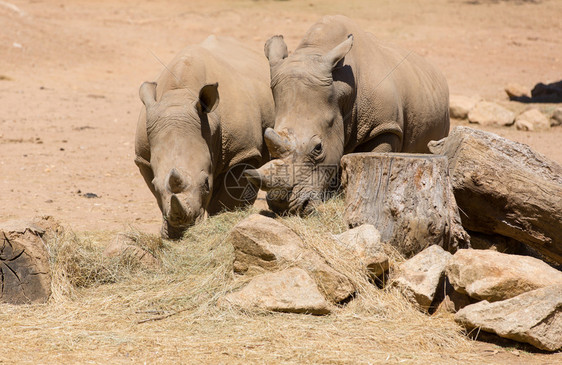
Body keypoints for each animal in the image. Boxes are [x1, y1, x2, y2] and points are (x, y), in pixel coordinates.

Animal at [135, 35, 272, 237]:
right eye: (155, 184)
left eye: (207, 183)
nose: (181, 230)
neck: (180, 94)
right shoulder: (143, 157)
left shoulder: (243, 152)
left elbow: (228, 198)